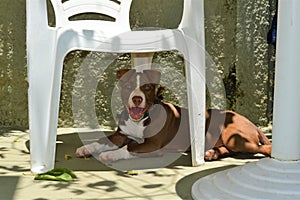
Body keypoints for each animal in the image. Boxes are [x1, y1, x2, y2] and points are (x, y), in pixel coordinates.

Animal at [75, 69, 272, 162]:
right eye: (128, 86)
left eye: (147, 87)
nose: (137, 99)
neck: (140, 120)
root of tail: (252, 124)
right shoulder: (121, 134)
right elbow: (103, 141)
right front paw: (86, 148)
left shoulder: (153, 145)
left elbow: (129, 148)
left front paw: (111, 155)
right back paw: (210, 153)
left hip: (234, 136)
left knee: (263, 148)